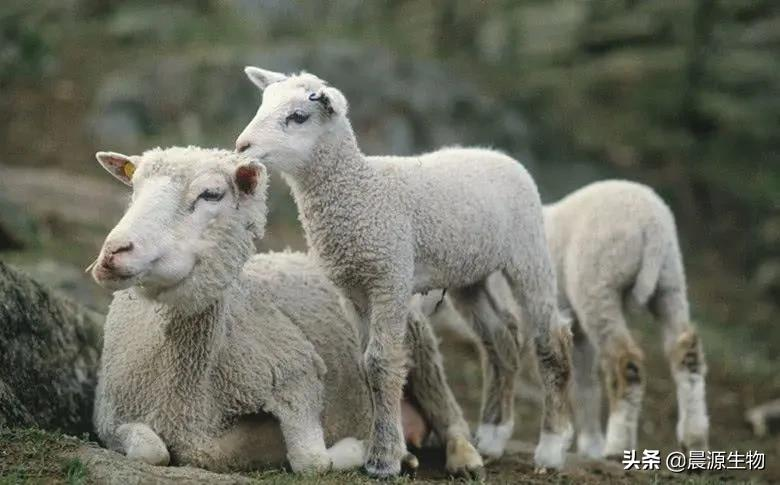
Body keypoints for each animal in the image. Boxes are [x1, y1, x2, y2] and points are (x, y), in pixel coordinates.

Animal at [90, 145, 482, 476]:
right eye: (134, 189)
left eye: (210, 194)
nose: (113, 252)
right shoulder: (109, 413)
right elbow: (152, 451)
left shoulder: (298, 374)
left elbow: (311, 461)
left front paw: (356, 448)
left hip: (415, 337)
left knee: (446, 408)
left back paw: (461, 457)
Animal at [236, 67, 572, 472]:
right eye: (263, 104)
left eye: (298, 116)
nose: (241, 146)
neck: (361, 190)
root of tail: (497, 154)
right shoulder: (352, 290)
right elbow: (365, 364)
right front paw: (388, 446)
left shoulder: (390, 277)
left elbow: (382, 362)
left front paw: (383, 459)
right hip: (470, 274)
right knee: (500, 337)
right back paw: (493, 436)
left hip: (528, 251)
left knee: (550, 338)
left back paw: (552, 447)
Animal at [436, 181, 708, 458]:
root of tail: (652, 223)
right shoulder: (577, 331)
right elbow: (585, 383)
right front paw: (589, 445)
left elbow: (500, 362)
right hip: (670, 280)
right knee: (685, 350)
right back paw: (694, 439)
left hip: (598, 284)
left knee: (626, 360)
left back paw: (618, 445)